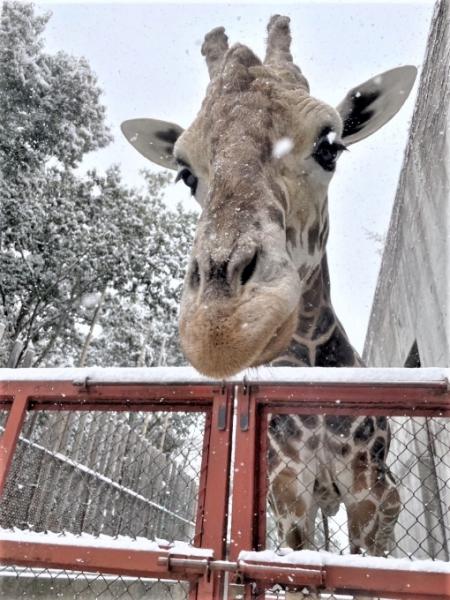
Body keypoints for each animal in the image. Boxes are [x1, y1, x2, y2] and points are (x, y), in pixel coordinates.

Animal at [121, 14, 416, 596]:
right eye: (185, 172)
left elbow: (363, 574)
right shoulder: (288, 490)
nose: (221, 326)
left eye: (330, 145)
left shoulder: (368, 491)